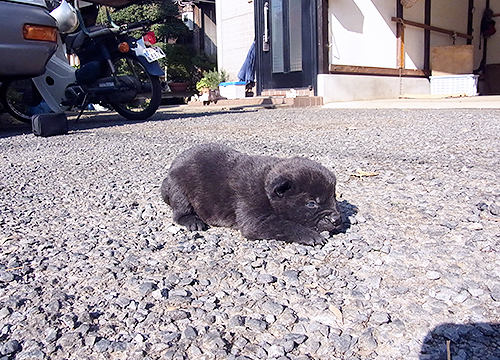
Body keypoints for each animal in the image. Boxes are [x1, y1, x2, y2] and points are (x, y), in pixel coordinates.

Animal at [162, 143, 342, 245]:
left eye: (334, 197)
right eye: (311, 203)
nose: (337, 219)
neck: (265, 188)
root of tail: (170, 171)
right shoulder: (255, 220)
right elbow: (286, 225)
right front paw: (310, 235)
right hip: (180, 191)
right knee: (180, 212)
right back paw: (193, 221)